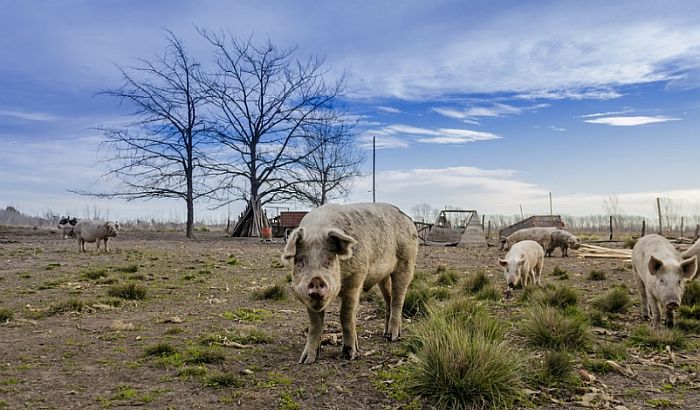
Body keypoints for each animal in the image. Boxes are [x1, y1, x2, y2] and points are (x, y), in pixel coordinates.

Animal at [282, 200, 418, 364]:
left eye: (329, 259)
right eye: (300, 261)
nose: (316, 279)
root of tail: (407, 218)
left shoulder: (355, 280)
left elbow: (346, 316)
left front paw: (350, 355)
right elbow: (314, 323)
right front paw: (306, 360)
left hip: (407, 261)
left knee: (398, 299)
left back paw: (392, 337)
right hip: (384, 276)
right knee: (388, 299)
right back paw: (385, 334)